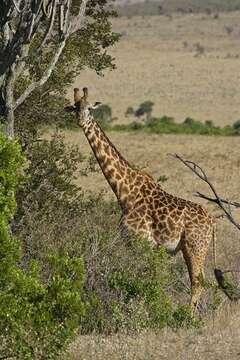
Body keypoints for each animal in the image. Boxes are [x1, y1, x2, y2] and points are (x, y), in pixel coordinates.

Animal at [66, 88, 217, 312]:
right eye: (75, 107)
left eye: (90, 109)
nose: (81, 121)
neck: (124, 192)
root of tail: (212, 222)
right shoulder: (139, 244)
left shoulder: (139, 241)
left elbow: (140, 276)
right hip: (193, 248)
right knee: (201, 281)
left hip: (195, 246)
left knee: (197, 281)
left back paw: (188, 316)